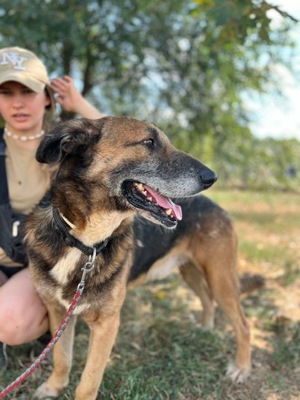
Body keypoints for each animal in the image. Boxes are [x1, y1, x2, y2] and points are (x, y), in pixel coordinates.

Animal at [24, 116, 251, 400]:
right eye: (149, 142)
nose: (213, 177)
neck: (86, 242)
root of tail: (216, 205)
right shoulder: (57, 311)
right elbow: (61, 357)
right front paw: (54, 386)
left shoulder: (106, 325)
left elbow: (88, 382)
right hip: (190, 271)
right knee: (207, 300)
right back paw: (206, 329)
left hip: (220, 278)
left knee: (243, 324)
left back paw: (241, 368)